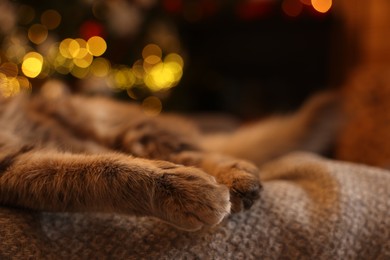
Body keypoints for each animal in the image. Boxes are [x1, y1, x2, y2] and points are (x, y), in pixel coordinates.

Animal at [0, 82, 338, 232]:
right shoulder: (14, 167)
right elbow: (100, 170)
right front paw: (185, 191)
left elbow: (105, 165)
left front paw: (185, 189)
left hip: (115, 124)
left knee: (198, 150)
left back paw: (236, 176)